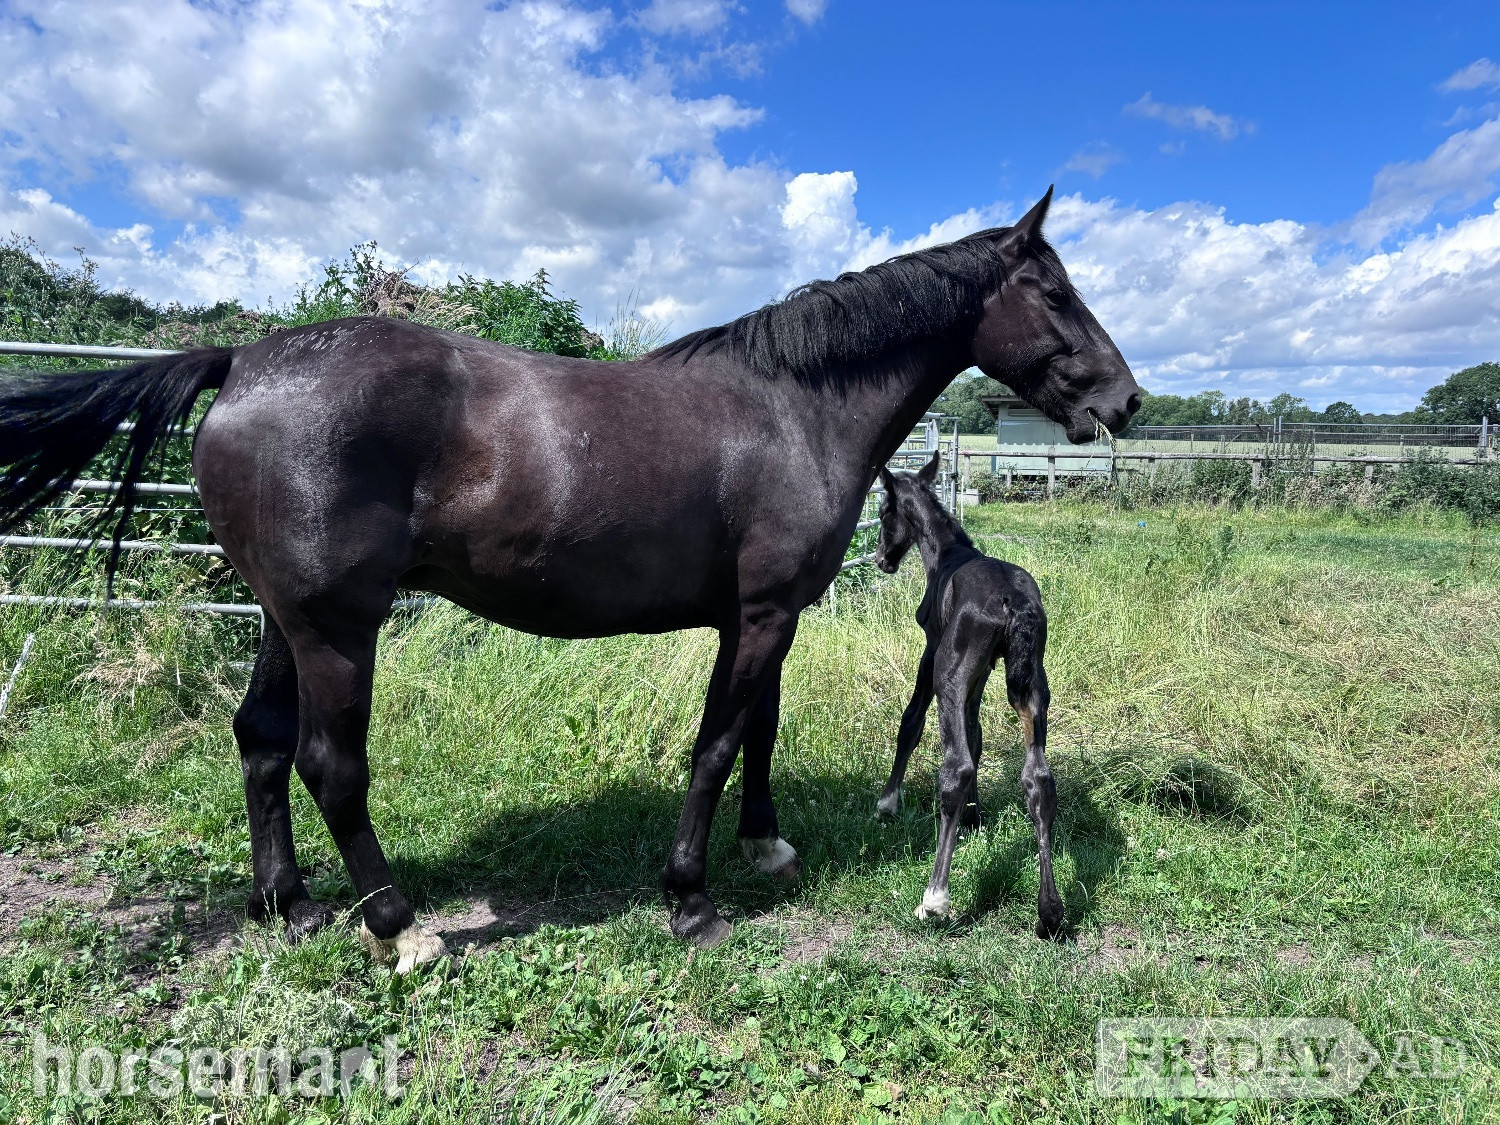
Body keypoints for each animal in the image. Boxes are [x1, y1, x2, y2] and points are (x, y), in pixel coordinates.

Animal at [872, 453, 1062, 938]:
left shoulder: (932, 650)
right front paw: (975, 817)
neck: (945, 554)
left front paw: (888, 802)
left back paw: (935, 898)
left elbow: (912, 722)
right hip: (1032, 684)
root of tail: (1013, 601)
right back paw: (1049, 910)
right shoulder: (985, 672)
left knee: (954, 766)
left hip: (950, 674)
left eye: (882, 513)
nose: (881, 559)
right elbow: (976, 731)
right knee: (1038, 778)